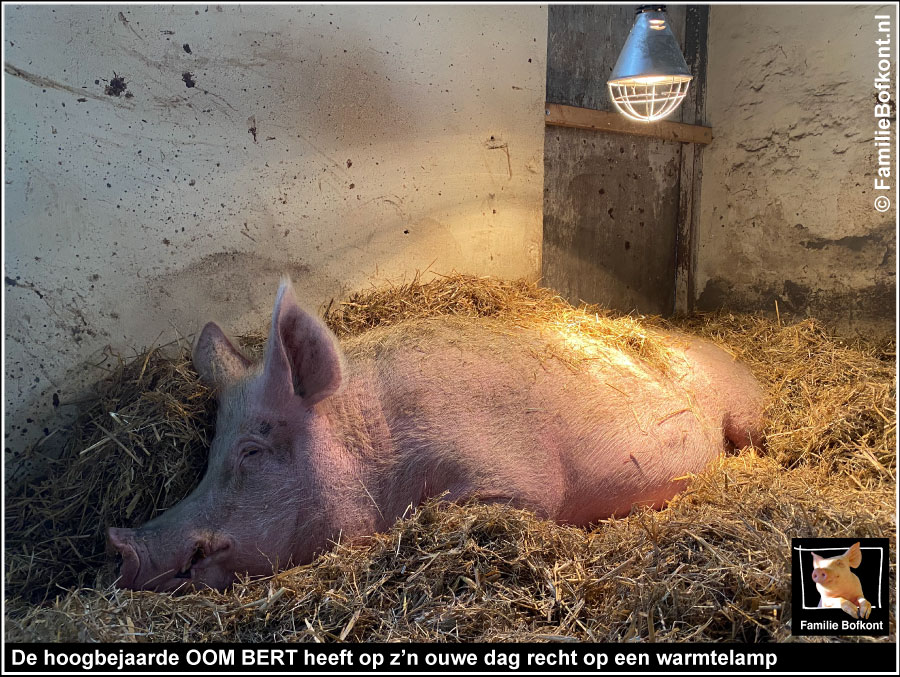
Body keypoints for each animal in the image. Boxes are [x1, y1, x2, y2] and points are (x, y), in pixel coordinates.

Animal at [107, 278, 768, 588]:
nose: (122, 546)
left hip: (747, 412)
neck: (375, 446)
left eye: (251, 450)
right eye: (211, 453)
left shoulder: (516, 479)